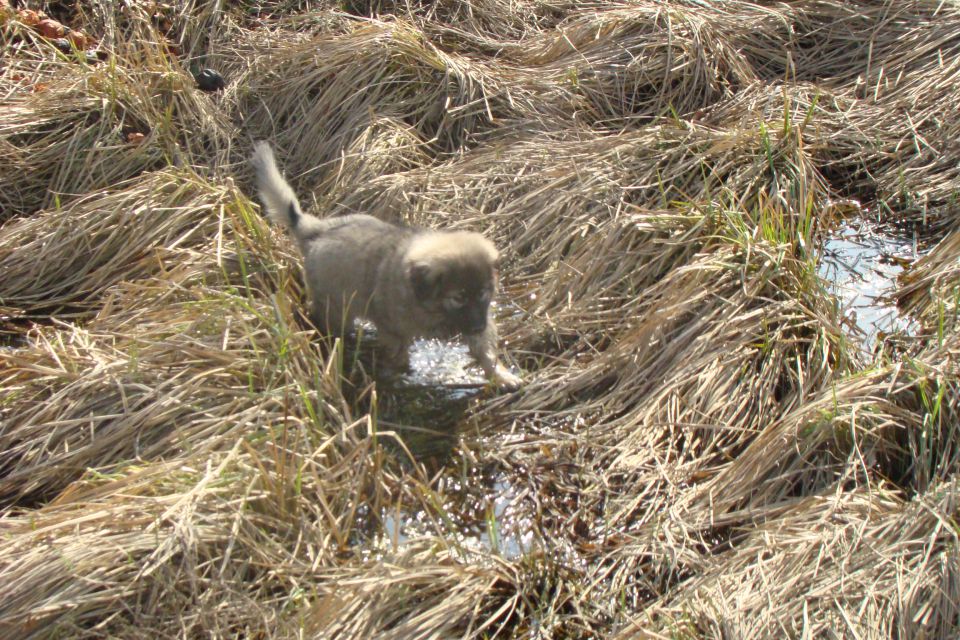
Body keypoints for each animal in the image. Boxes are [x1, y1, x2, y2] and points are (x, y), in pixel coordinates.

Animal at [248, 141, 516, 390]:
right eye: (459, 297)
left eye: (483, 293)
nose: (478, 326)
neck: (430, 306)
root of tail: (317, 231)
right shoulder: (393, 331)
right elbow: (398, 356)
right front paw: (398, 376)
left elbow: (485, 350)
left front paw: (500, 375)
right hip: (336, 307)